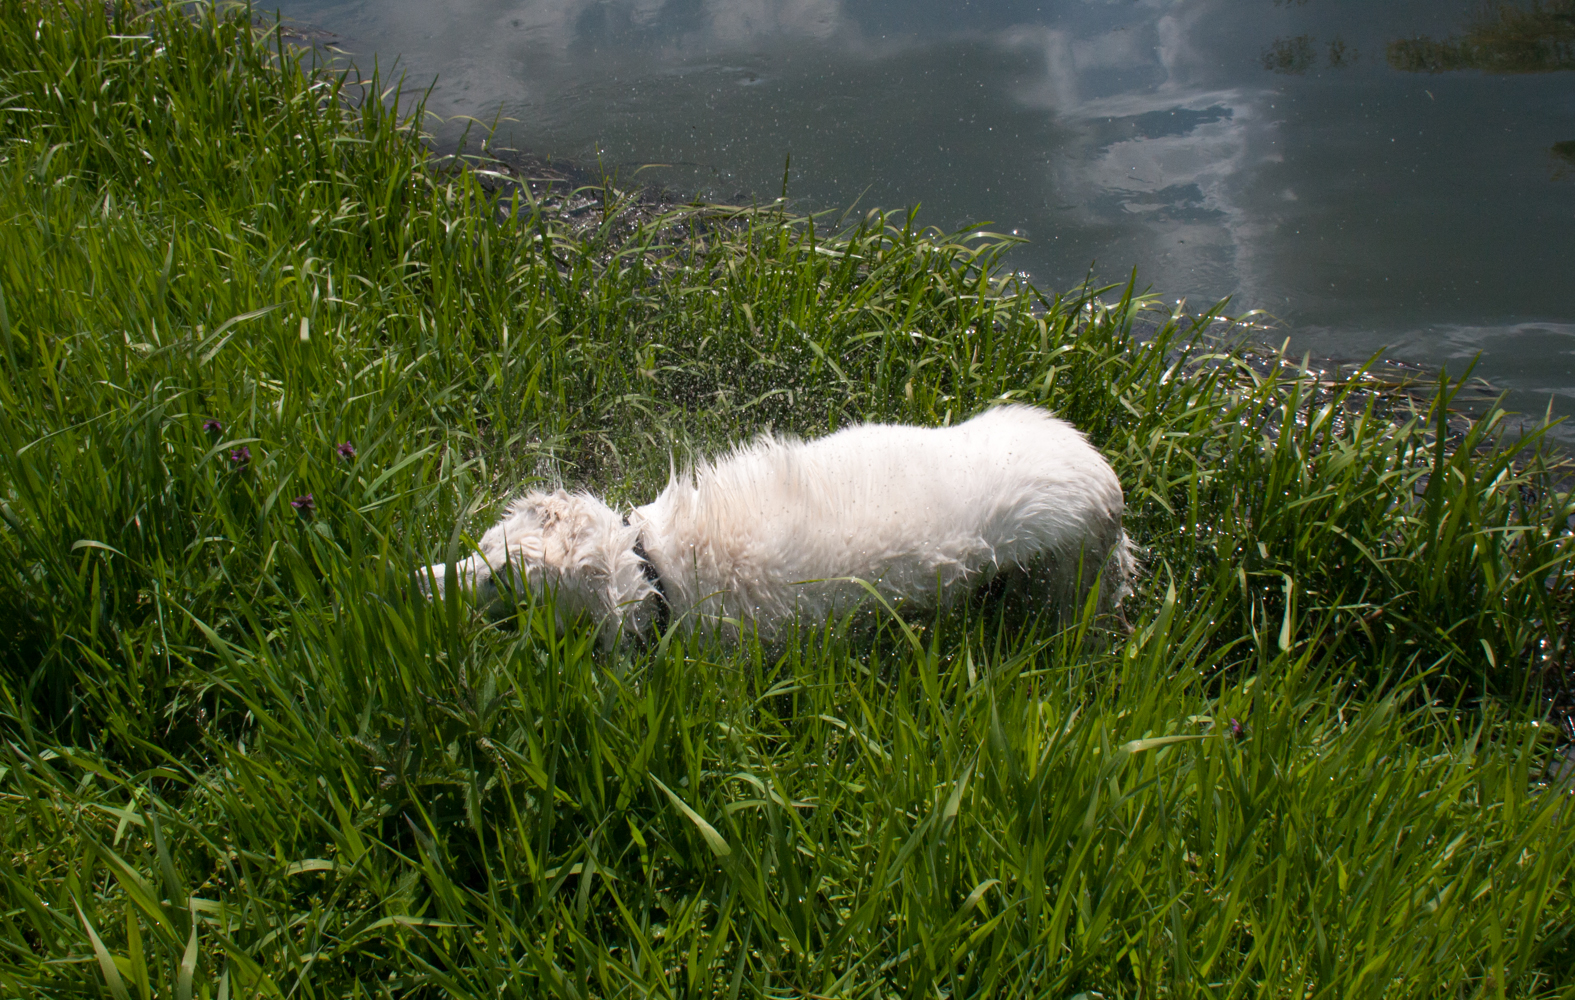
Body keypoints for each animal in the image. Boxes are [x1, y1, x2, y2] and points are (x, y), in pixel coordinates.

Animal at [423, 404, 1134, 643]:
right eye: (478, 548)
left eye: (496, 585)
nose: (418, 583)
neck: (654, 569)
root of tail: (1106, 478)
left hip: (1063, 583)